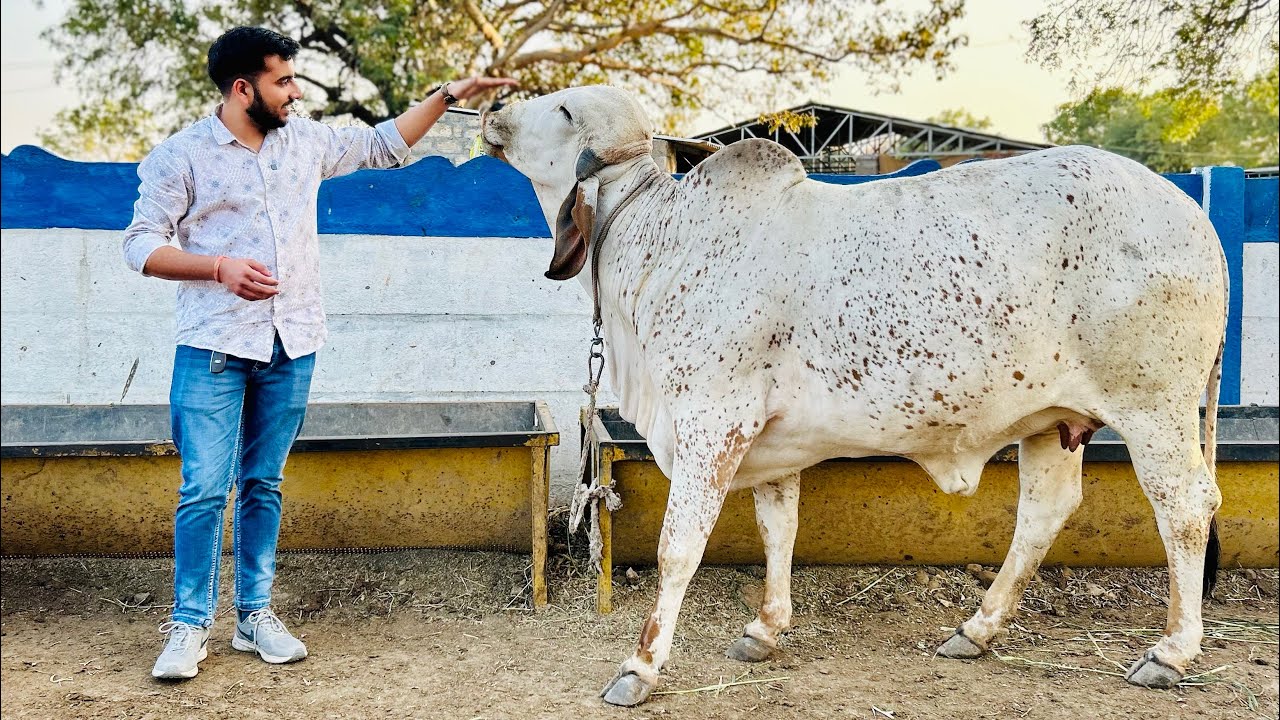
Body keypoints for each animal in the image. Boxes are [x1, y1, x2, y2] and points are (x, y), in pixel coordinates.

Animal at [480, 86, 1227, 707]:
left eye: (564, 110)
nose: (495, 111)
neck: (658, 242)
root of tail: (1197, 218)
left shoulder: (711, 426)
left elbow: (678, 549)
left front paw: (640, 667)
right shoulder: (768, 444)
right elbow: (777, 529)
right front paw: (765, 628)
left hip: (1154, 409)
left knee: (1187, 509)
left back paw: (1170, 652)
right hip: (1051, 420)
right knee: (1045, 510)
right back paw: (977, 629)